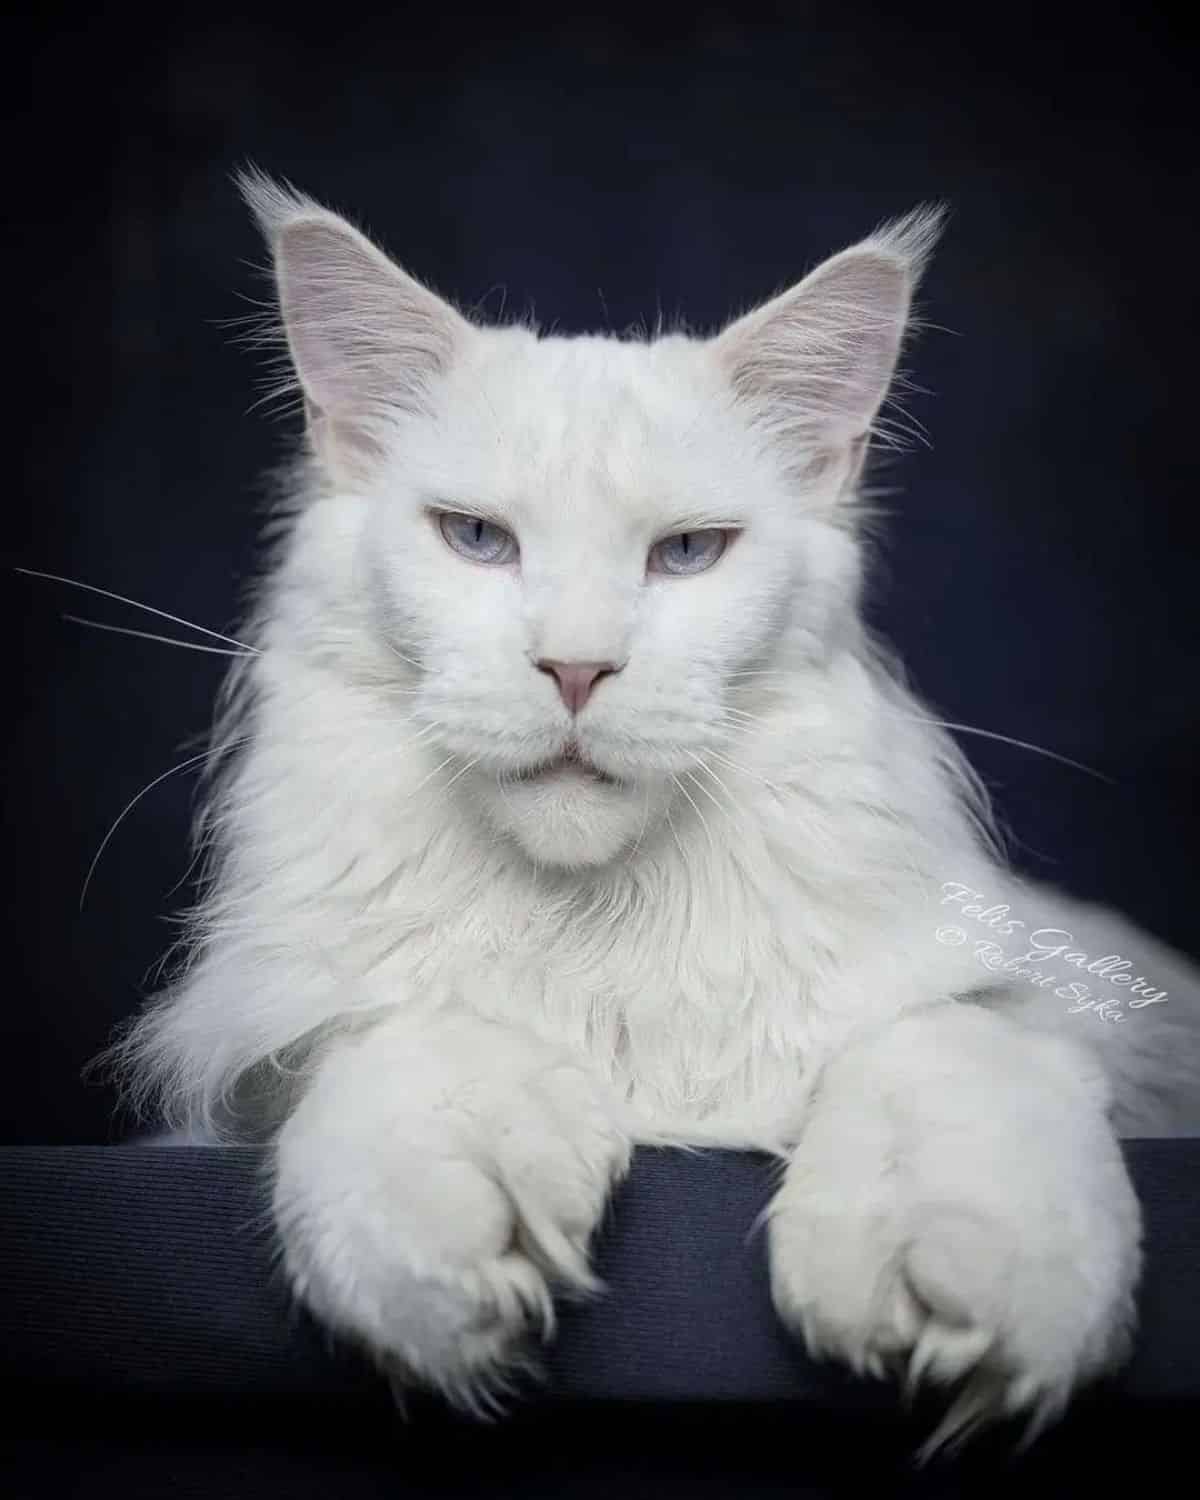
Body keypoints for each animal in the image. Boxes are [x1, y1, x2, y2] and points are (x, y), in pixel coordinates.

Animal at [112, 172, 1200, 1452]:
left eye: (687, 554)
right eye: (477, 540)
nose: (577, 670)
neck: (604, 927)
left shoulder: (1033, 998)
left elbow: (951, 1048)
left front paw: (971, 1282)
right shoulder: (265, 1060)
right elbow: (405, 1039)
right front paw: (441, 1253)